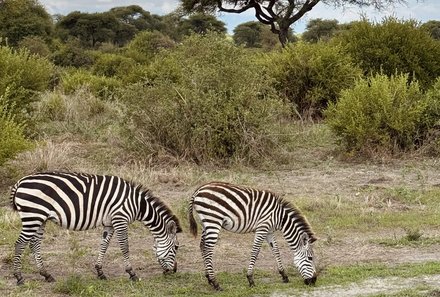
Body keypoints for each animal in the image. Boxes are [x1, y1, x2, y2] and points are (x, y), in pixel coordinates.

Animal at [10, 171, 182, 284]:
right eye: (176, 247)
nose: (174, 271)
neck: (138, 205)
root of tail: (20, 182)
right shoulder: (120, 219)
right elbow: (125, 247)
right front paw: (132, 273)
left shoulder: (109, 223)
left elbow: (104, 246)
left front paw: (100, 272)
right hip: (33, 215)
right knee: (20, 243)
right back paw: (19, 277)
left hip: (40, 219)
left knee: (34, 244)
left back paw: (46, 275)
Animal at [187, 180, 318, 290]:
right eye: (310, 258)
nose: (314, 281)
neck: (280, 217)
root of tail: (198, 190)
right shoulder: (262, 228)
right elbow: (255, 251)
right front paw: (250, 279)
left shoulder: (269, 231)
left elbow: (275, 250)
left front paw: (284, 275)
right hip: (213, 221)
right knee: (208, 248)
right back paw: (215, 283)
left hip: (205, 223)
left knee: (202, 246)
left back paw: (209, 278)